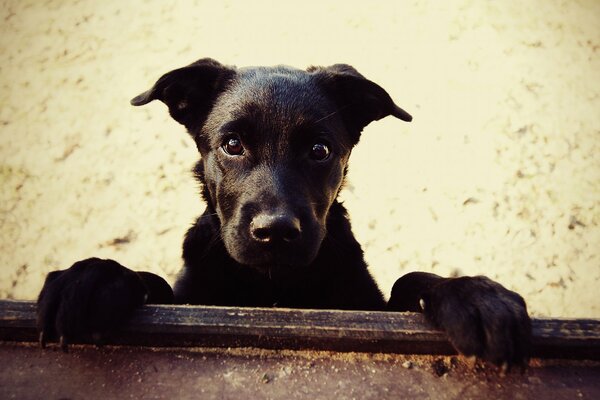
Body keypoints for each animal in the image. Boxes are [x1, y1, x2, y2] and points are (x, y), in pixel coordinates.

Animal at [36, 57, 528, 368]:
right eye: (232, 144)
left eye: (319, 150)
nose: (274, 232)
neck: (273, 284)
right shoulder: (189, 294)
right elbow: (152, 281)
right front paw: (93, 276)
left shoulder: (367, 304)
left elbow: (410, 280)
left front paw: (474, 296)